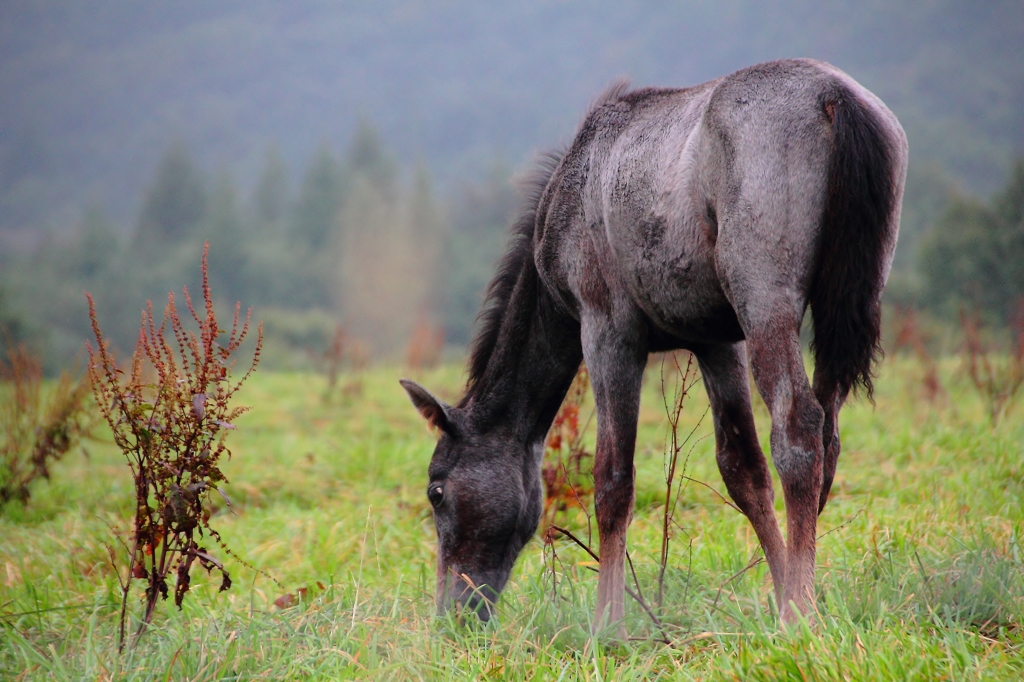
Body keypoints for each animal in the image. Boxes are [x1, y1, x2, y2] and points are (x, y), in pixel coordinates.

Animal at [399, 58, 905, 630]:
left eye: (436, 490)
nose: (453, 614)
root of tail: (835, 95)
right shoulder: (716, 341)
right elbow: (743, 468)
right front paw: (776, 588)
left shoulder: (607, 329)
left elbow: (612, 479)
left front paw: (607, 623)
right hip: (839, 308)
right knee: (826, 439)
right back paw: (803, 597)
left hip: (766, 303)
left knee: (798, 432)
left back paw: (798, 614)